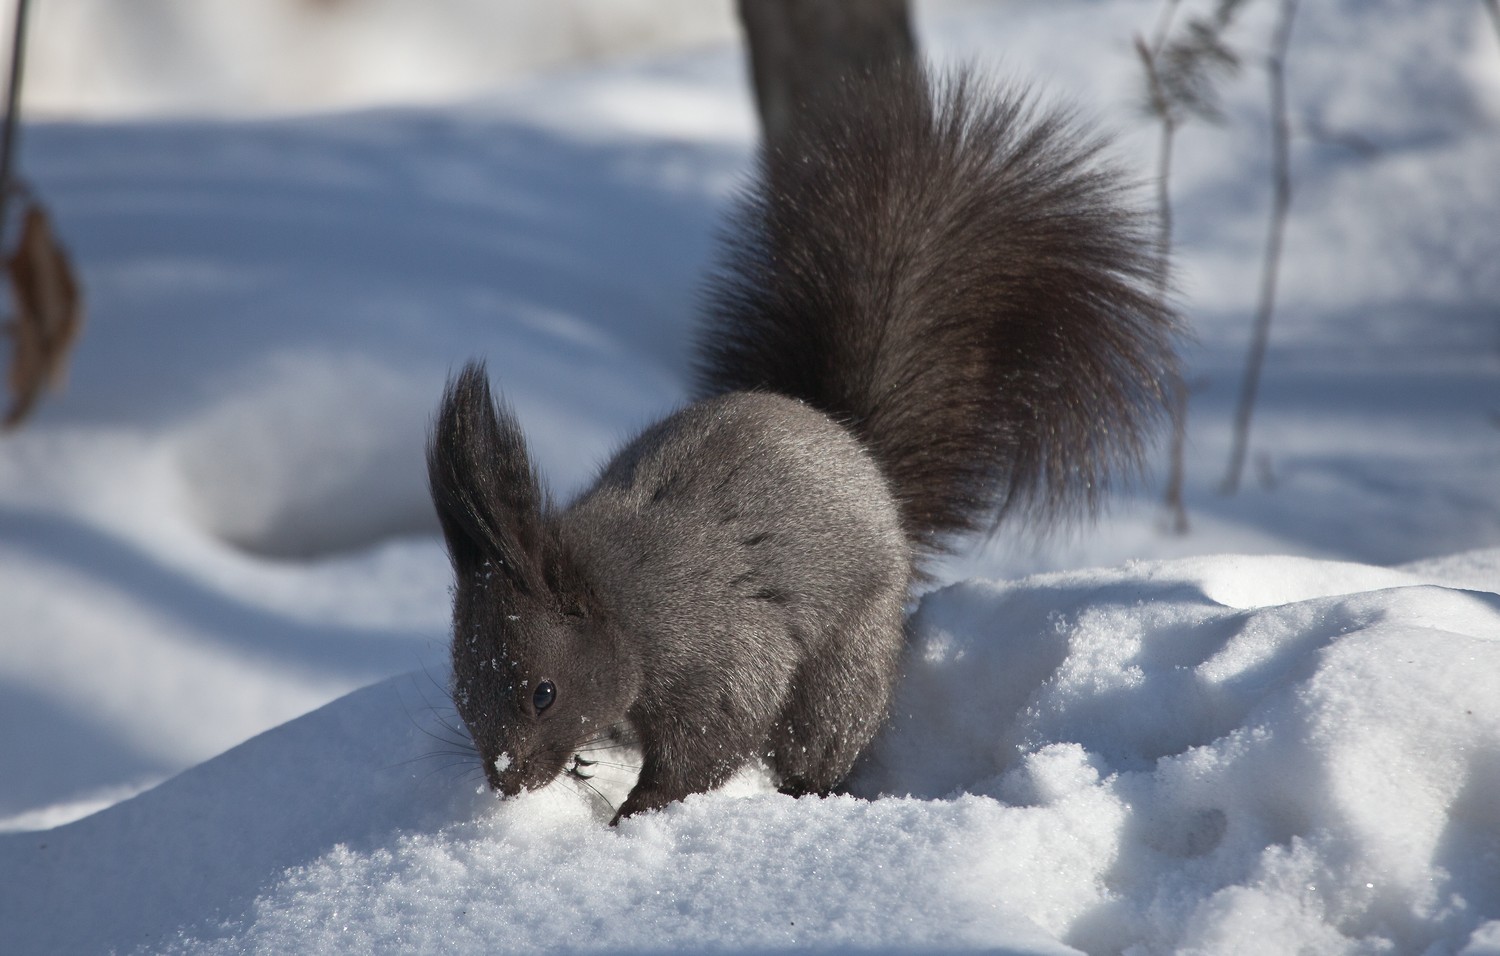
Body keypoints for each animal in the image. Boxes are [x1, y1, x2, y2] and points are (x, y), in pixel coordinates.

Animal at [426, 65, 1178, 824]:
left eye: (543, 692)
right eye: (461, 694)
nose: (506, 780)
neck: (617, 597)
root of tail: (860, 456)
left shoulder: (720, 645)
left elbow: (716, 734)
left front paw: (641, 810)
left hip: (849, 658)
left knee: (826, 733)